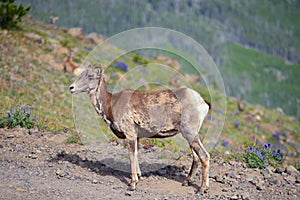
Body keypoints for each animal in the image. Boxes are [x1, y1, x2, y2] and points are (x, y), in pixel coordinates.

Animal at [69, 64, 211, 194]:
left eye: (90, 76)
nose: (71, 88)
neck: (111, 104)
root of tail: (202, 102)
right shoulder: (137, 137)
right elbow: (136, 155)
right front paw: (139, 177)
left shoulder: (130, 135)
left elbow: (131, 156)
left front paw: (132, 184)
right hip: (190, 137)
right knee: (196, 157)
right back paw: (186, 182)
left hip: (190, 134)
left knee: (204, 156)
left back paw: (202, 189)